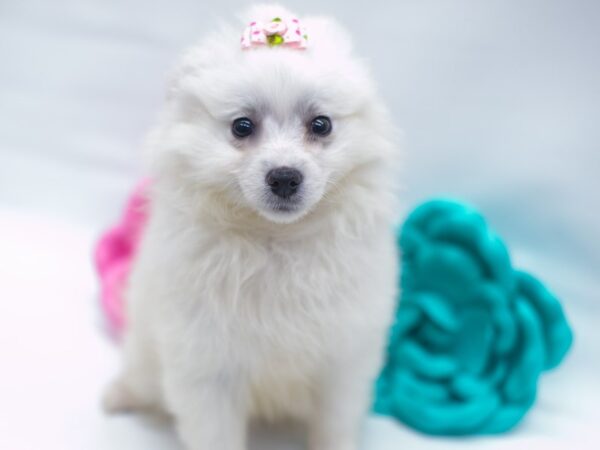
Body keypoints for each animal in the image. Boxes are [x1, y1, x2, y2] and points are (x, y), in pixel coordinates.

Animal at [105, 4, 400, 450]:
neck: (275, 239)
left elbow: (334, 425)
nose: (285, 177)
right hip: (146, 350)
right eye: (241, 126)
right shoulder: (207, 367)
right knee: (142, 379)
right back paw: (119, 395)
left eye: (321, 125)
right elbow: (216, 434)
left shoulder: (343, 359)